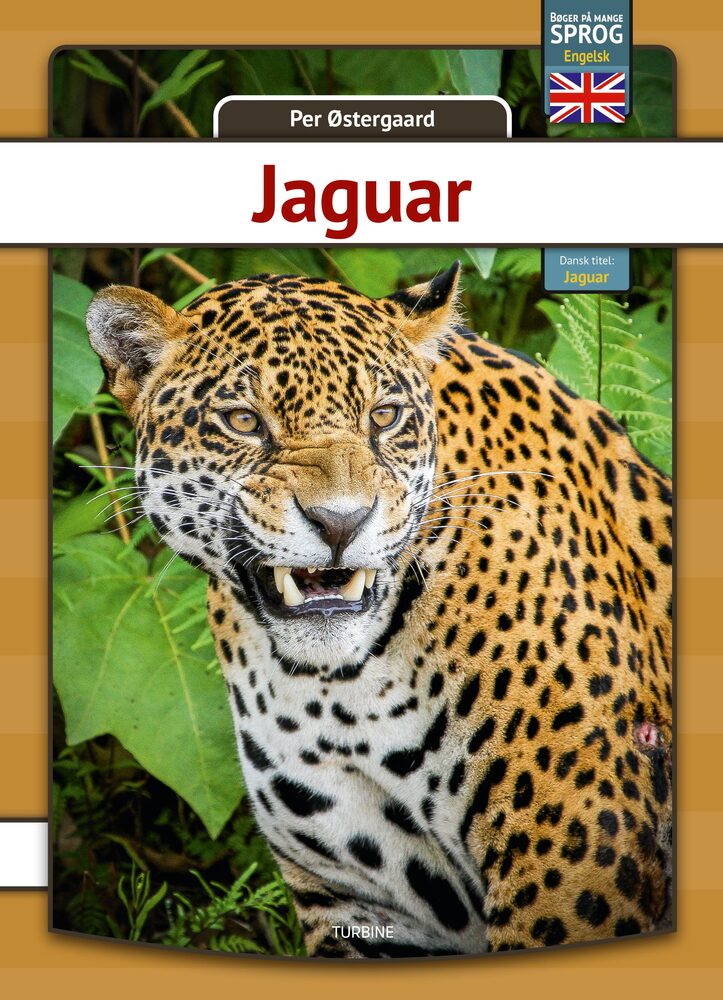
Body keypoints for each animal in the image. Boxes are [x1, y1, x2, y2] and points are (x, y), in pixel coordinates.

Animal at [86, 262, 673, 959]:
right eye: (243, 421)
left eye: (385, 417)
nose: (341, 521)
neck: (342, 692)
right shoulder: (360, 900)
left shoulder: (576, 858)